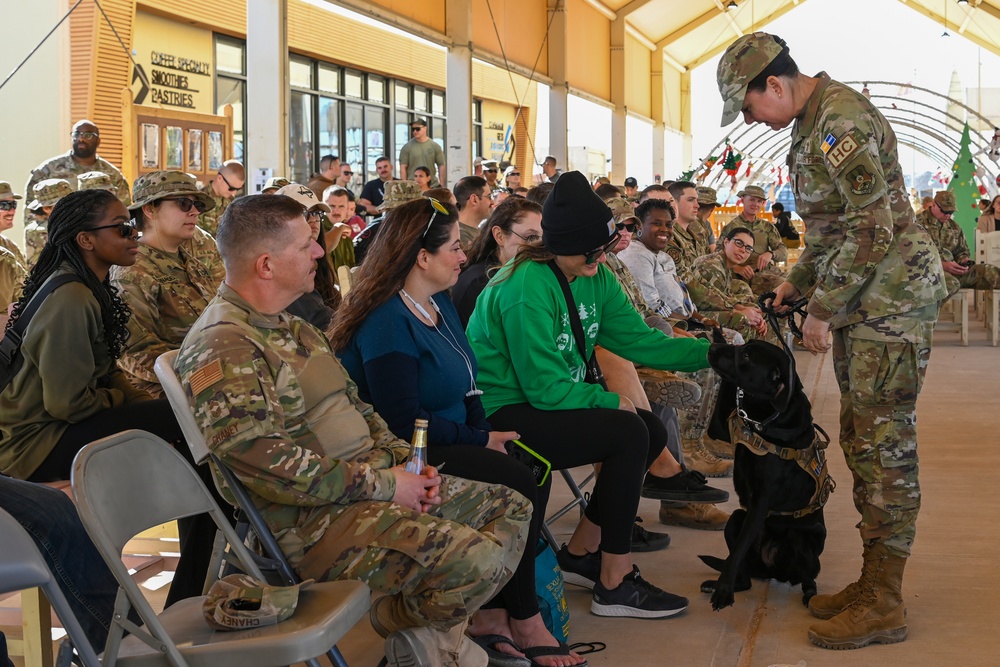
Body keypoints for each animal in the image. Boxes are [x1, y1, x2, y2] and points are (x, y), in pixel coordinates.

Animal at [696, 340, 836, 612]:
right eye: (744, 346)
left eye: (747, 355)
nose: (713, 346)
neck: (765, 418)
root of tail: (772, 572)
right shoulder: (721, 429)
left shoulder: (761, 503)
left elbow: (737, 552)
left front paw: (723, 591)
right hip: (736, 519)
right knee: (746, 578)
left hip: (801, 539)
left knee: (808, 578)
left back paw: (809, 595)